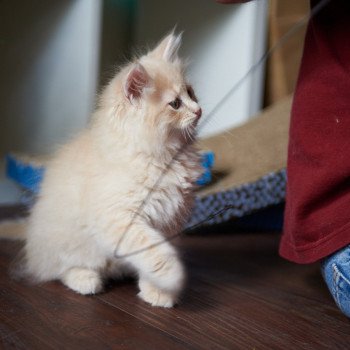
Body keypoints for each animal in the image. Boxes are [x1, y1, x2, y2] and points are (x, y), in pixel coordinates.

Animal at [0, 32, 202, 306]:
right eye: (175, 104)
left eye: (191, 93)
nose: (199, 110)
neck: (163, 156)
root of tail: (31, 233)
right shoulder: (118, 218)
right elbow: (154, 250)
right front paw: (173, 276)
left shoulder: (168, 220)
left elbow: (155, 253)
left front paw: (158, 291)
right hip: (73, 245)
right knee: (58, 269)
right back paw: (85, 280)